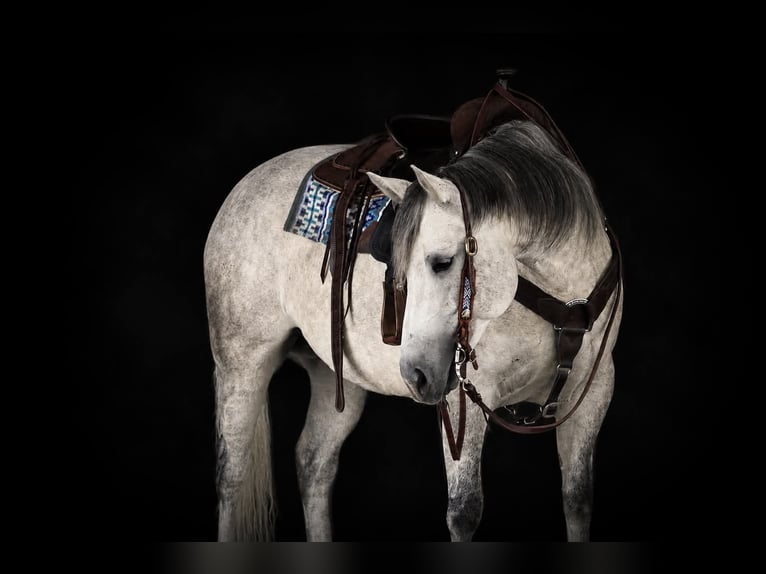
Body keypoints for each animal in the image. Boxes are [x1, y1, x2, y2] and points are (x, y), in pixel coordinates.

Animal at [203, 119, 623, 542]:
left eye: (442, 262)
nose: (416, 374)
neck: (563, 297)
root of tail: (244, 187)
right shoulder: (467, 395)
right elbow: (464, 510)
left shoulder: (595, 387)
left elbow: (577, 498)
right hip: (243, 365)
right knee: (231, 475)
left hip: (333, 374)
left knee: (313, 463)